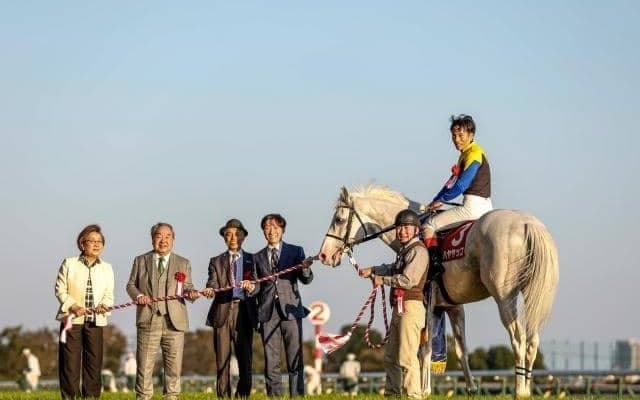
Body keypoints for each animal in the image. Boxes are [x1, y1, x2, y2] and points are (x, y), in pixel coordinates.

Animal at [318, 185, 559, 398]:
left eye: (339, 219)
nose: (324, 255)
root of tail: (527, 222)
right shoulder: (453, 307)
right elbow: (461, 350)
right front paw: (471, 389)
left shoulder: (430, 304)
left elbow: (425, 349)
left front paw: (424, 390)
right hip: (530, 296)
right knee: (532, 341)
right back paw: (526, 388)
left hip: (504, 297)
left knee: (518, 339)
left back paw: (520, 390)